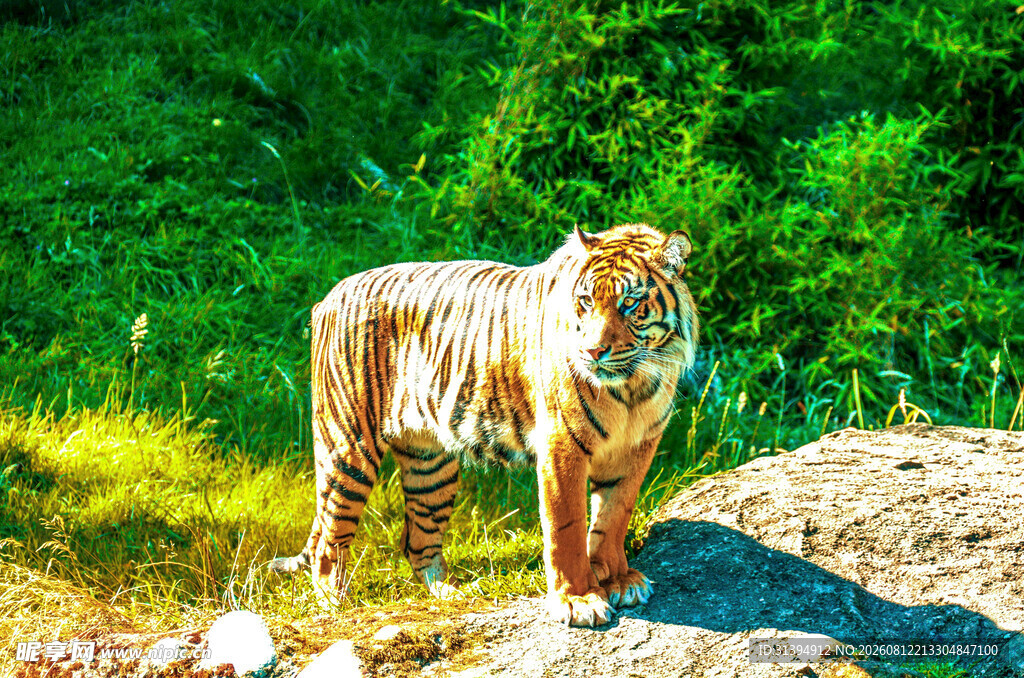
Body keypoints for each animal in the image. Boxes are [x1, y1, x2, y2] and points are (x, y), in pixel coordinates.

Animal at [269, 222, 699, 627]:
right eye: (586, 301)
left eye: (630, 303)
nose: (592, 351)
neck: (632, 386)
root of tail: (330, 295)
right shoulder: (562, 446)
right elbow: (568, 527)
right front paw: (578, 600)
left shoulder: (637, 446)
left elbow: (613, 516)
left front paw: (618, 580)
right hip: (348, 449)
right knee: (328, 542)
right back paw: (335, 605)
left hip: (431, 466)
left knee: (417, 541)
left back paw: (452, 594)